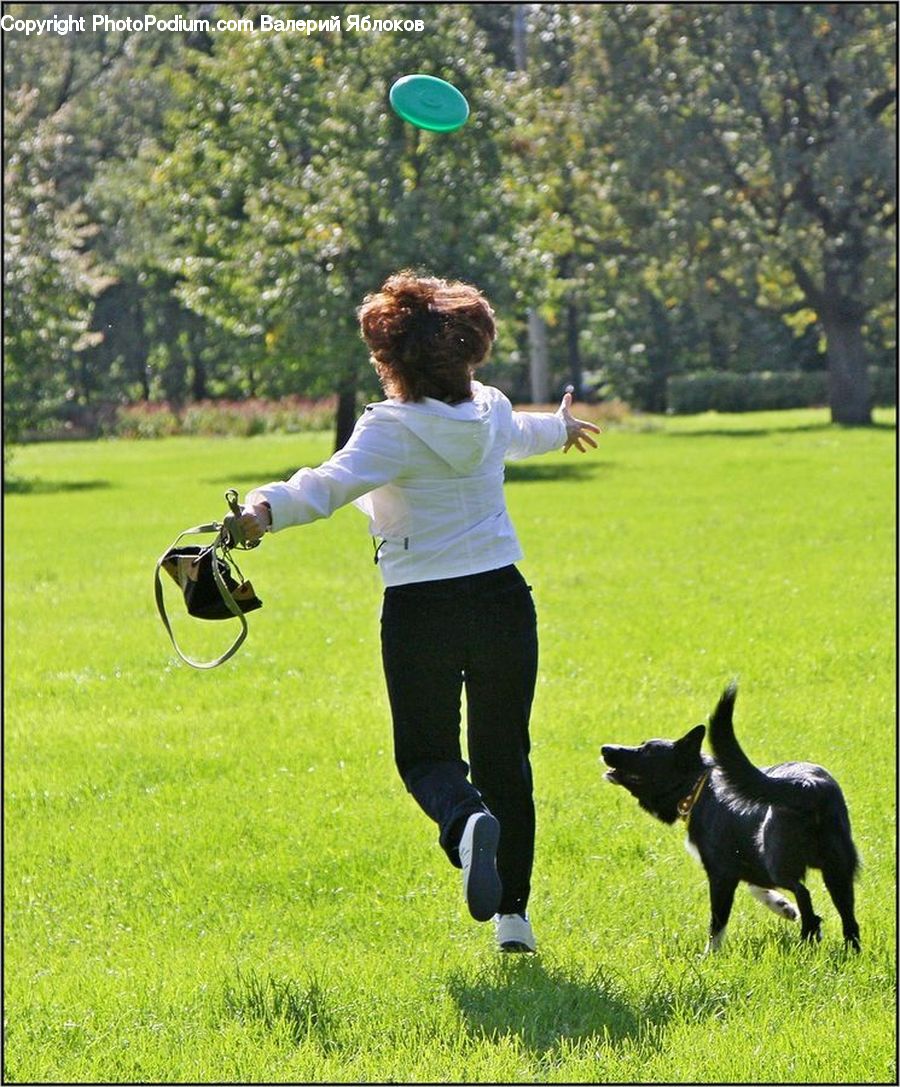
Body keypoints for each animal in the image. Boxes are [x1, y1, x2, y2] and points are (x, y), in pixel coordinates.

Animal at [600, 686, 860, 952]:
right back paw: (849, 950)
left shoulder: (720, 873)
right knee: (849, 919)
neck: (699, 785)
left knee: (803, 893)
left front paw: (709, 956)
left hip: (780, 861)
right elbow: (757, 887)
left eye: (647, 751)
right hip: (838, 870)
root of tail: (807, 785)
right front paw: (783, 907)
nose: (605, 748)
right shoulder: (745, 860)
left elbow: (717, 924)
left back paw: (810, 932)